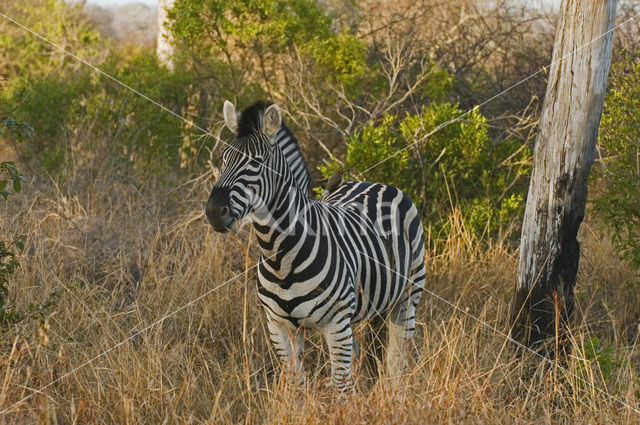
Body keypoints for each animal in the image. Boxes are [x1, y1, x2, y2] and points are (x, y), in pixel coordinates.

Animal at [205, 100, 424, 388]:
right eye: (224, 159)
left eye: (256, 162)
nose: (213, 211)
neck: (280, 257)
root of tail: (375, 183)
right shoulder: (279, 326)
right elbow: (296, 383)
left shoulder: (336, 324)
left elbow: (340, 386)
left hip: (407, 297)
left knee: (397, 365)